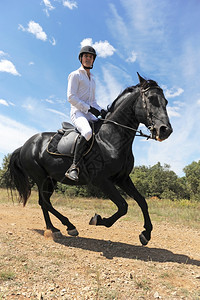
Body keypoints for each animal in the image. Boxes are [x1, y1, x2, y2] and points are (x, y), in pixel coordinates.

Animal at [8, 74, 173, 245]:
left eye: (166, 101)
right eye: (151, 99)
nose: (165, 130)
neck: (110, 138)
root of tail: (25, 145)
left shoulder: (122, 179)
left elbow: (142, 201)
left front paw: (146, 233)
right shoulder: (102, 180)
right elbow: (123, 206)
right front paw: (98, 219)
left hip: (51, 179)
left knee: (44, 202)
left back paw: (56, 228)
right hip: (40, 178)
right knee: (45, 202)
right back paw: (63, 227)